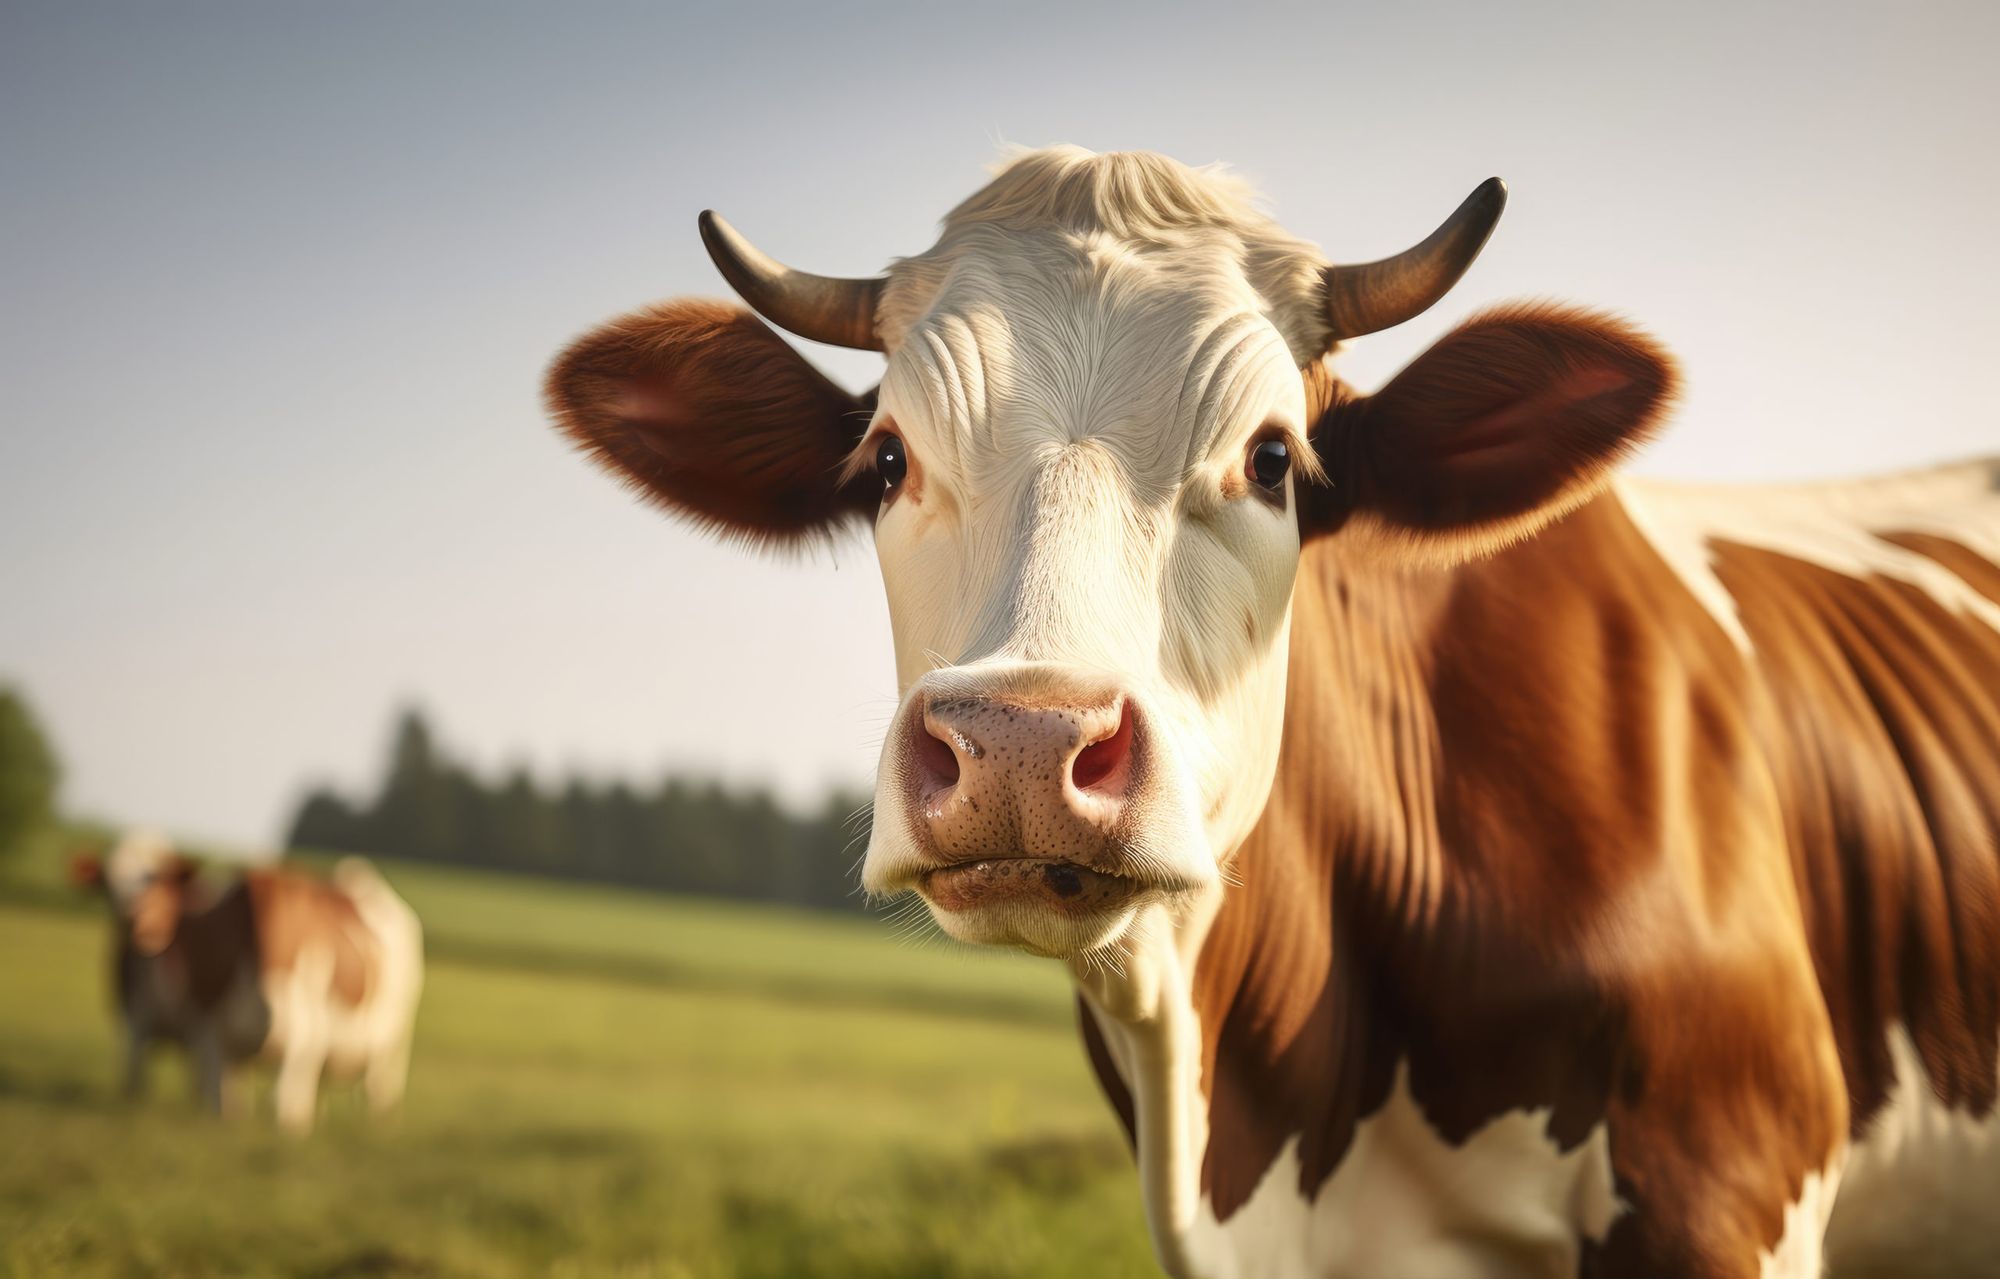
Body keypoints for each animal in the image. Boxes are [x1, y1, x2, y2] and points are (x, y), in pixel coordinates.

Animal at [72, 830, 424, 1134]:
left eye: (161, 881)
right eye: (107, 886)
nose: (135, 923)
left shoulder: (303, 1042)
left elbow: (283, 1110)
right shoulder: (177, 1031)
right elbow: (205, 1101)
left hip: (391, 1045)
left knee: (377, 1091)